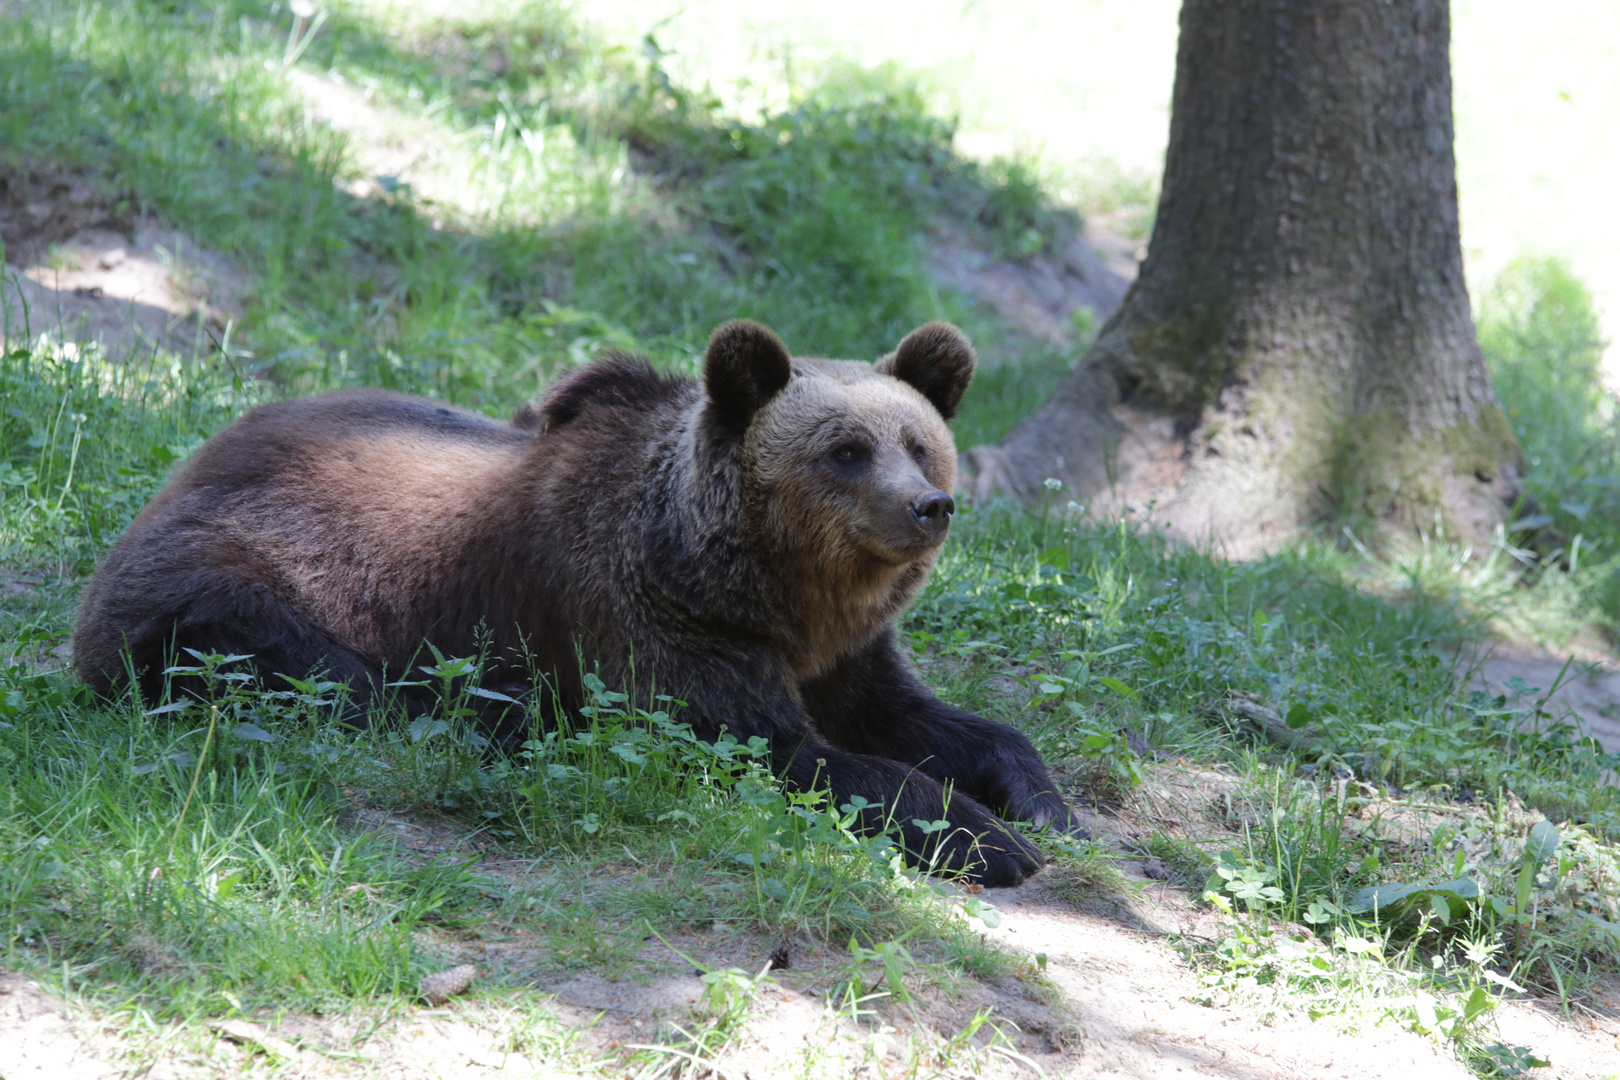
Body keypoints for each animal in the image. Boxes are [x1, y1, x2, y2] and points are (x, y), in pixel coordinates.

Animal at [82, 318, 1082, 887]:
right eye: (845, 449)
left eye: (918, 440)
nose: (928, 505)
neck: (766, 587)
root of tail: (197, 454)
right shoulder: (645, 618)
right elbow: (777, 746)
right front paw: (986, 840)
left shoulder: (844, 650)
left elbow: (928, 719)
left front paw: (1039, 803)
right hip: (239, 575)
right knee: (324, 674)